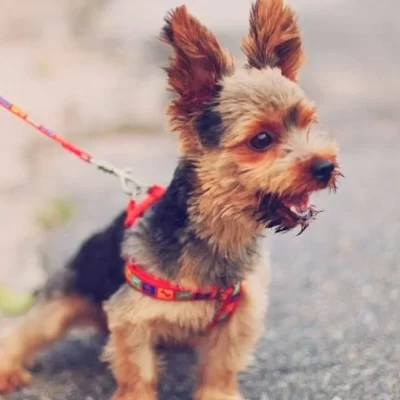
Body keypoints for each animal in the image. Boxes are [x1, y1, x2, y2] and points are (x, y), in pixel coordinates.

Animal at [0, 0, 340, 398]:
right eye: (261, 140)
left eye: (308, 123)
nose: (325, 167)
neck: (219, 232)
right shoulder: (131, 318)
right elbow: (138, 373)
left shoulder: (240, 315)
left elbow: (221, 366)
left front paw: (218, 393)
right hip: (64, 297)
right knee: (25, 331)